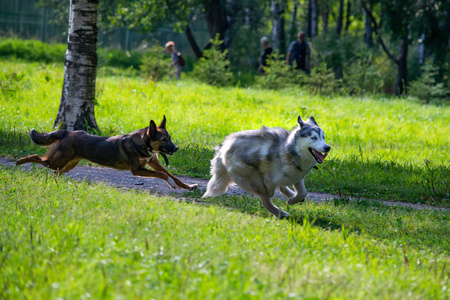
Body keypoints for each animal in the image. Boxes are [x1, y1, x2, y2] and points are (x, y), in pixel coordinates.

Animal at [16, 116, 196, 190]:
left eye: (170, 138)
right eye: (164, 139)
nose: (176, 148)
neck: (144, 144)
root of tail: (67, 132)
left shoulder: (154, 163)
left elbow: (172, 176)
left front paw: (188, 186)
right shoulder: (137, 170)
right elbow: (163, 175)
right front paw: (172, 185)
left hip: (68, 164)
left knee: (55, 172)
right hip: (57, 160)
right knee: (37, 157)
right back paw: (19, 161)